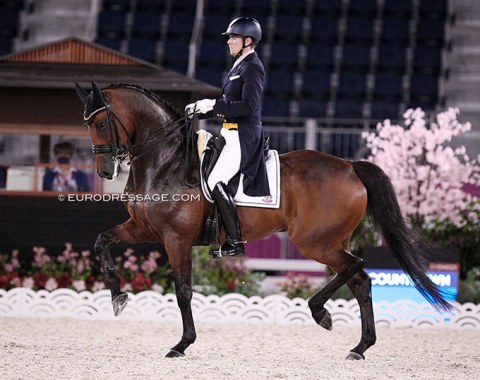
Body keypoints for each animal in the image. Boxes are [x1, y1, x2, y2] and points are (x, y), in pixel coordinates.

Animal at [74, 82, 450, 360]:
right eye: (87, 123)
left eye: (101, 123)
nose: (105, 171)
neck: (164, 160)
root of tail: (350, 166)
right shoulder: (144, 229)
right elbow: (101, 241)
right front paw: (118, 297)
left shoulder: (175, 239)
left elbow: (182, 291)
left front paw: (182, 344)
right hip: (332, 241)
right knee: (360, 282)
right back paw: (360, 347)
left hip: (315, 242)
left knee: (354, 267)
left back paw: (321, 313)